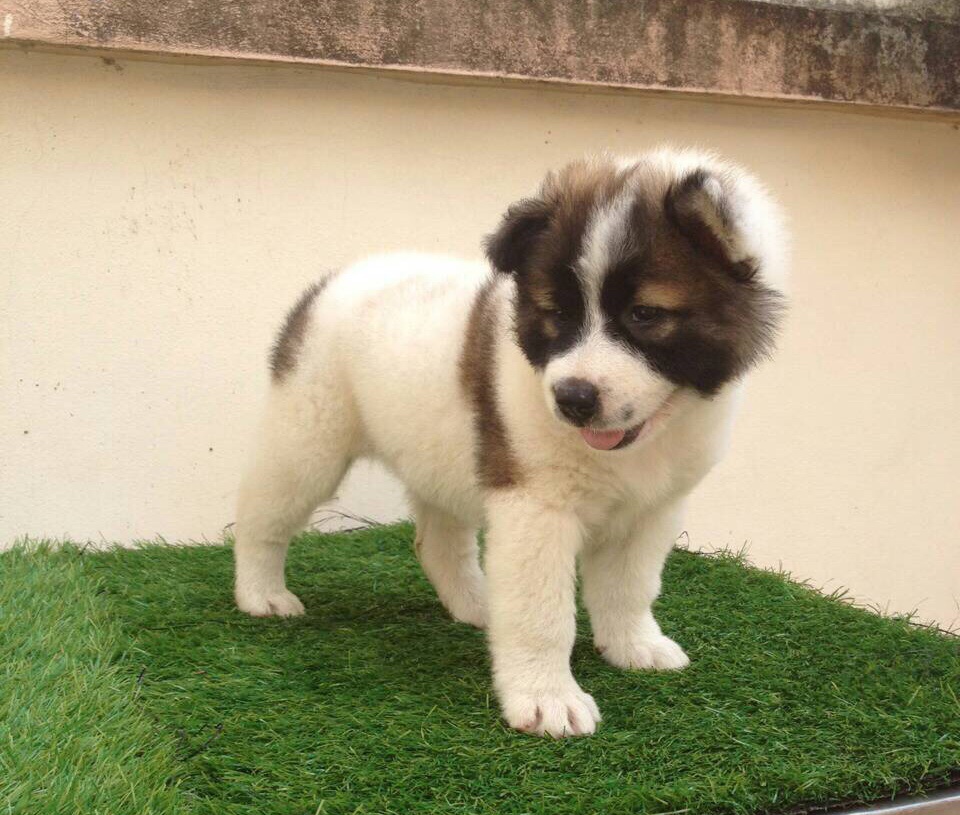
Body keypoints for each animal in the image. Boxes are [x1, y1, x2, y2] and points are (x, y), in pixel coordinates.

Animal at [233, 147, 788, 738]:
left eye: (644, 314)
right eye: (558, 314)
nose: (572, 399)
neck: (639, 443)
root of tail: (334, 280)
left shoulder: (651, 510)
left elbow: (631, 586)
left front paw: (635, 646)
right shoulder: (535, 506)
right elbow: (542, 611)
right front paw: (546, 698)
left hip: (437, 451)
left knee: (436, 542)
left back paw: (477, 605)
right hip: (308, 440)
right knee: (262, 515)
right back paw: (261, 593)